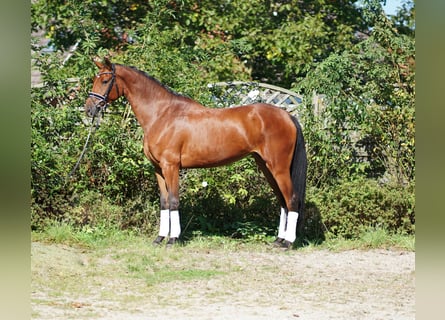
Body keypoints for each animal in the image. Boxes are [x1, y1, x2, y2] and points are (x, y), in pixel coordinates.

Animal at [84, 56, 306, 249]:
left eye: (105, 80)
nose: (89, 109)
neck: (162, 114)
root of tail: (287, 116)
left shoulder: (171, 167)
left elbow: (174, 201)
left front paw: (173, 239)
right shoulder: (158, 169)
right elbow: (164, 202)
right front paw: (159, 238)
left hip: (279, 168)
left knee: (292, 199)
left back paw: (288, 243)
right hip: (266, 167)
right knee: (282, 200)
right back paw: (278, 240)